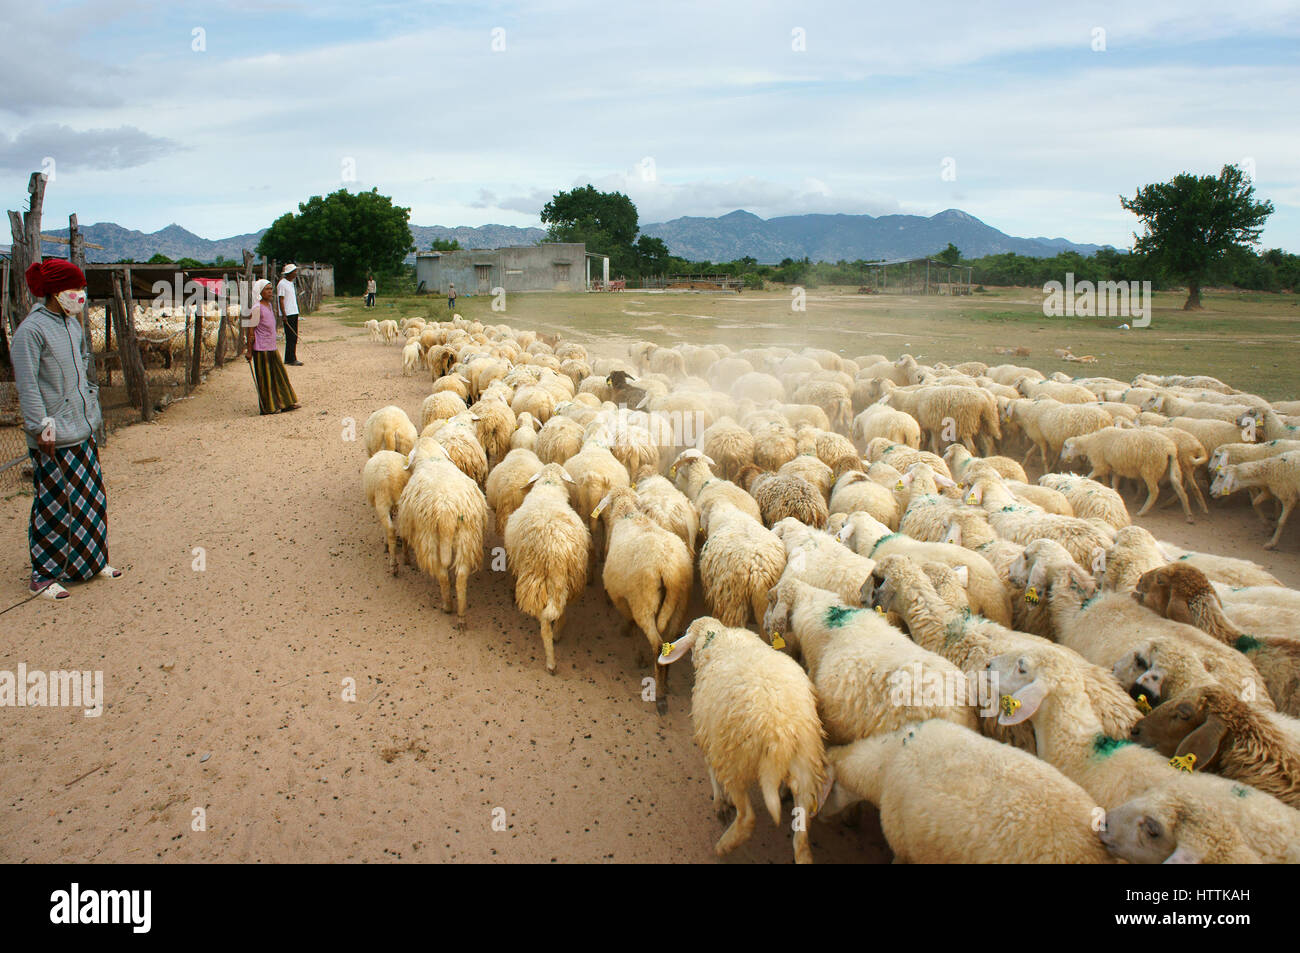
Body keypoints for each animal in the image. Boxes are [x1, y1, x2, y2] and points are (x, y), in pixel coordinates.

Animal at [395, 441, 488, 630]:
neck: (432, 458)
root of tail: (447, 512)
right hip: (467, 537)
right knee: (461, 576)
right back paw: (461, 615)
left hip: (430, 539)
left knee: (442, 573)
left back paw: (447, 606)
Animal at [503, 464, 589, 674]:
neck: (548, 485)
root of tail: (555, 551)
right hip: (572, 577)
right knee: (561, 609)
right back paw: (558, 633)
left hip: (535, 579)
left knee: (544, 622)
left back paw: (551, 662)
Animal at [596, 488, 693, 714]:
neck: (629, 514)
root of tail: (667, 568)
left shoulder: (621, 596)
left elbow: (630, 623)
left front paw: (634, 650)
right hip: (680, 603)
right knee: (669, 642)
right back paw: (665, 680)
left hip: (644, 604)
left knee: (656, 643)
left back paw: (660, 696)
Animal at [658, 617, 825, 863]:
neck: (717, 637)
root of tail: (780, 733)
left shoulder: (710, 735)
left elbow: (711, 769)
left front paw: (720, 802)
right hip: (806, 764)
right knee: (802, 840)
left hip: (735, 762)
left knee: (747, 818)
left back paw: (724, 845)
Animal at [1061, 426, 1194, 522]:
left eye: (1066, 447)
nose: (1062, 458)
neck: (1090, 443)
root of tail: (1169, 449)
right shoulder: (1115, 469)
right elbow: (1112, 483)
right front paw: (1112, 493)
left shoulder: (1100, 465)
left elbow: (1090, 476)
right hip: (1173, 467)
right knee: (1180, 489)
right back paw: (1188, 515)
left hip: (1150, 469)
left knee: (1154, 491)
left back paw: (1142, 511)